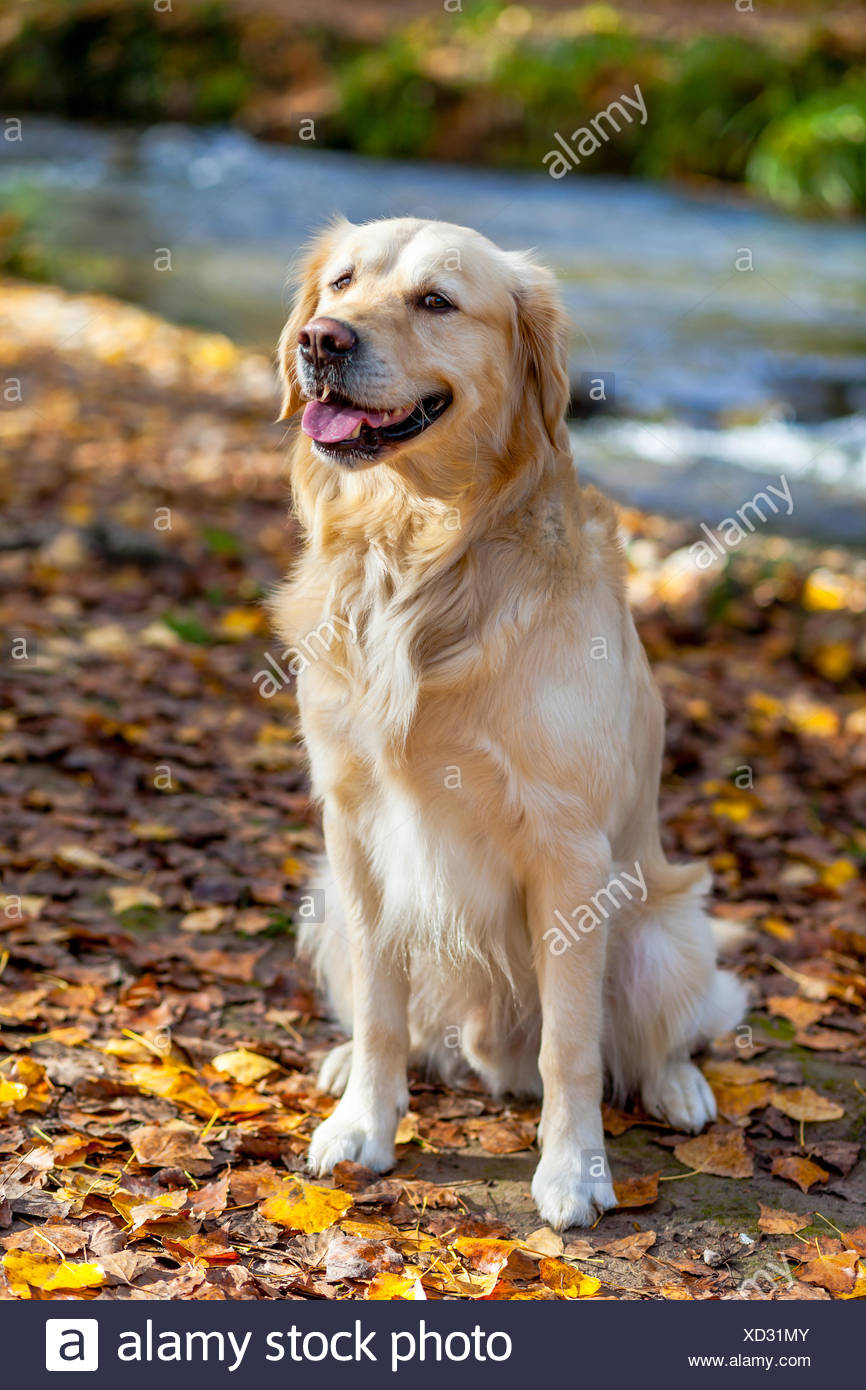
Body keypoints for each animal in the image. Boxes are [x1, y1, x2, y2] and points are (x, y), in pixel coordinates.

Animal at [273, 216, 750, 1228]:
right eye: (340, 285)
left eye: (436, 301)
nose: (321, 341)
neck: (418, 549)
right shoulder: (354, 828)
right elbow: (382, 1008)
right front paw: (363, 1124)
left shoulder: (567, 851)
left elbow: (571, 1043)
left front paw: (574, 1172)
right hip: (325, 903)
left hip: (667, 931)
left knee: (661, 1036)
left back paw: (679, 1088)